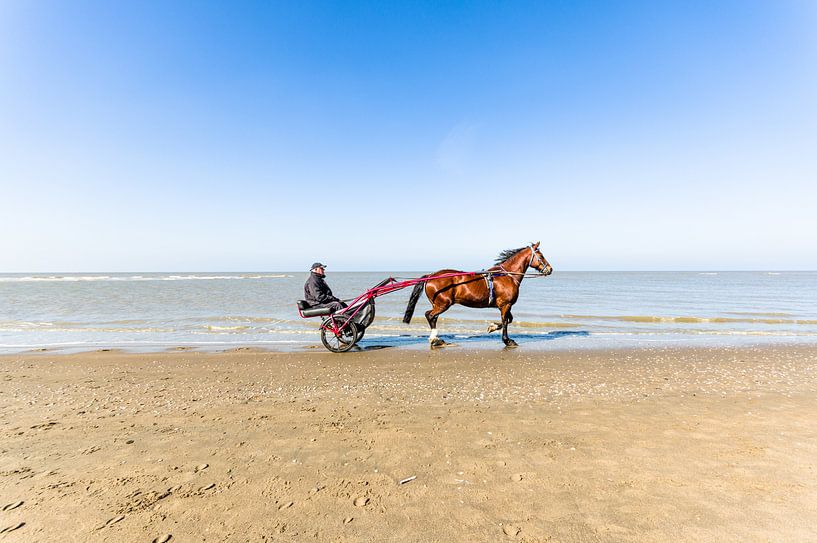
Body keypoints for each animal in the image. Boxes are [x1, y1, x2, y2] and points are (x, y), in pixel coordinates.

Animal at [404, 243, 556, 348]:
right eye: (541, 256)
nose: (550, 269)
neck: (507, 275)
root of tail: (430, 276)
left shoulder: (505, 305)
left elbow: (508, 320)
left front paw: (493, 327)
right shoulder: (505, 305)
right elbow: (505, 322)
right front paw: (507, 340)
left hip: (438, 304)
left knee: (432, 317)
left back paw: (437, 339)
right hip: (443, 304)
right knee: (430, 315)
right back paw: (435, 339)